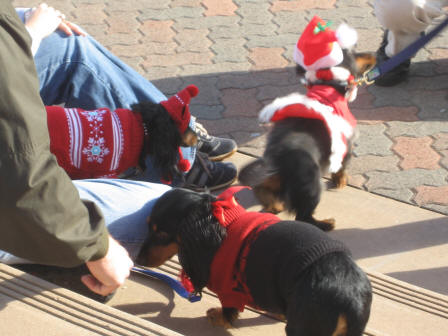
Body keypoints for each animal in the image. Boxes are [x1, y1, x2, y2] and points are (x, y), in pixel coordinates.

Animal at [240, 16, 376, 231]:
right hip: (312, 184)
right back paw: (326, 224)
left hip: (271, 179)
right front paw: (340, 181)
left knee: (265, 192)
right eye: (355, 52)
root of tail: (277, 160)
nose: (375, 54)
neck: (327, 87)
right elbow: (343, 166)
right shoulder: (346, 142)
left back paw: (275, 205)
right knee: (303, 216)